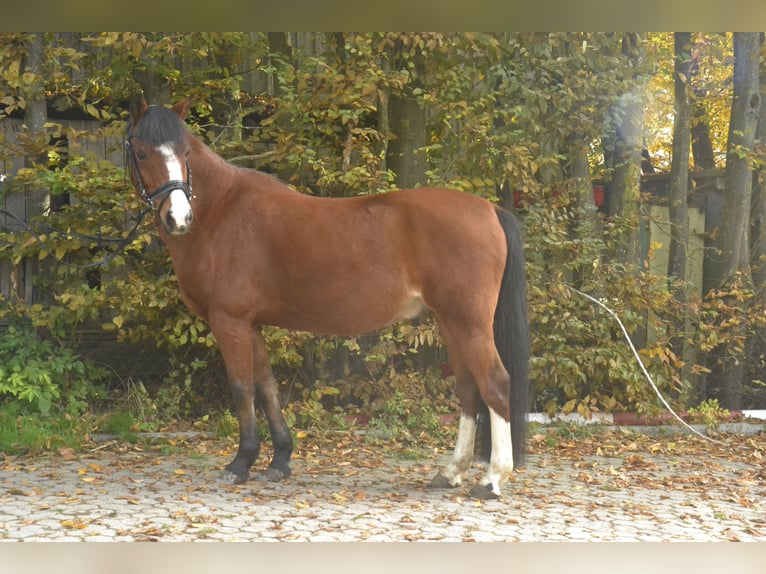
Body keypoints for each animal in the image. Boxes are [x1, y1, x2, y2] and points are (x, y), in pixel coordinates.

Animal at [129, 94, 532, 500]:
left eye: (185, 151)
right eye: (142, 152)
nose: (178, 218)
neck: (221, 213)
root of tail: (491, 209)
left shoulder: (231, 322)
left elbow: (242, 390)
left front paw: (240, 463)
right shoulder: (252, 324)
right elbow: (266, 387)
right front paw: (279, 460)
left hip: (469, 323)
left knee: (495, 384)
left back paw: (492, 479)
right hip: (451, 323)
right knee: (468, 389)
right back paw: (451, 472)